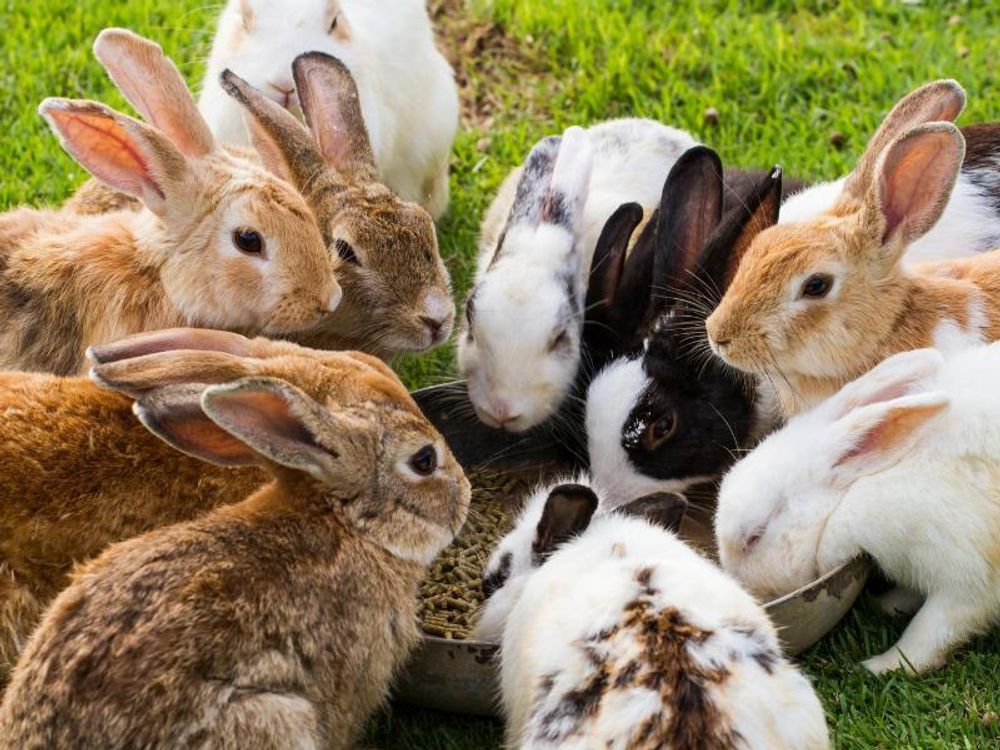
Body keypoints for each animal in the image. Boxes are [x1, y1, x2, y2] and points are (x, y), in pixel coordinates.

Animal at [716, 344, 1000, 675]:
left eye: (754, 537)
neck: (848, 497)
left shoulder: (967, 578)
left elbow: (929, 633)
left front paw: (882, 666)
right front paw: (888, 604)